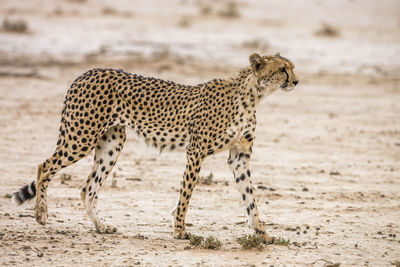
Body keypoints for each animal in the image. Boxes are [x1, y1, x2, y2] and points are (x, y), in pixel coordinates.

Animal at [11, 53, 296, 244]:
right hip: (81, 137)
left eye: (291, 68)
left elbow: (250, 197)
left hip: (112, 142)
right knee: (45, 165)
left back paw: (101, 226)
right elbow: (186, 194)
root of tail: (87, 72)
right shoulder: (196, 151)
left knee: (87, 188)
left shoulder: (239, 156)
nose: (296, 81)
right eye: (283, 69)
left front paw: (261, 232)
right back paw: (41, 214)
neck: (252, 96)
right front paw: (179, 230)